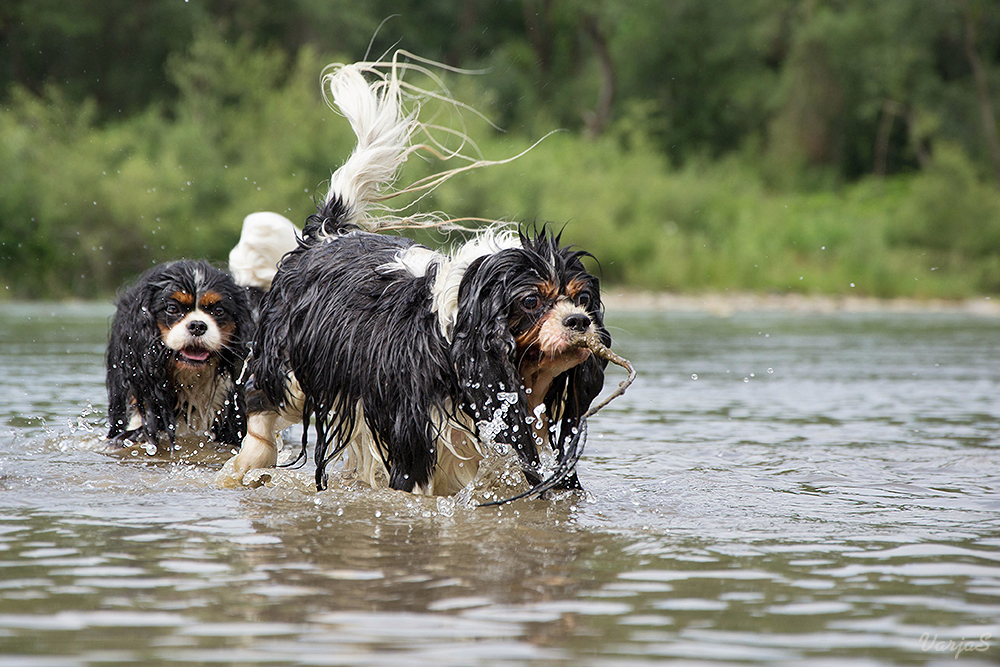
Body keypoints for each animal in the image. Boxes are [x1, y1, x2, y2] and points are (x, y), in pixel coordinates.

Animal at [219, 58, 608, 500]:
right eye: (531, 301)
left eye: (581, 300)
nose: (579, 322)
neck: (456, 338)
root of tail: (328, 234)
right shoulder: (416, 443)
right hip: (288, 372)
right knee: (260, 410)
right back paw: (243, 467)